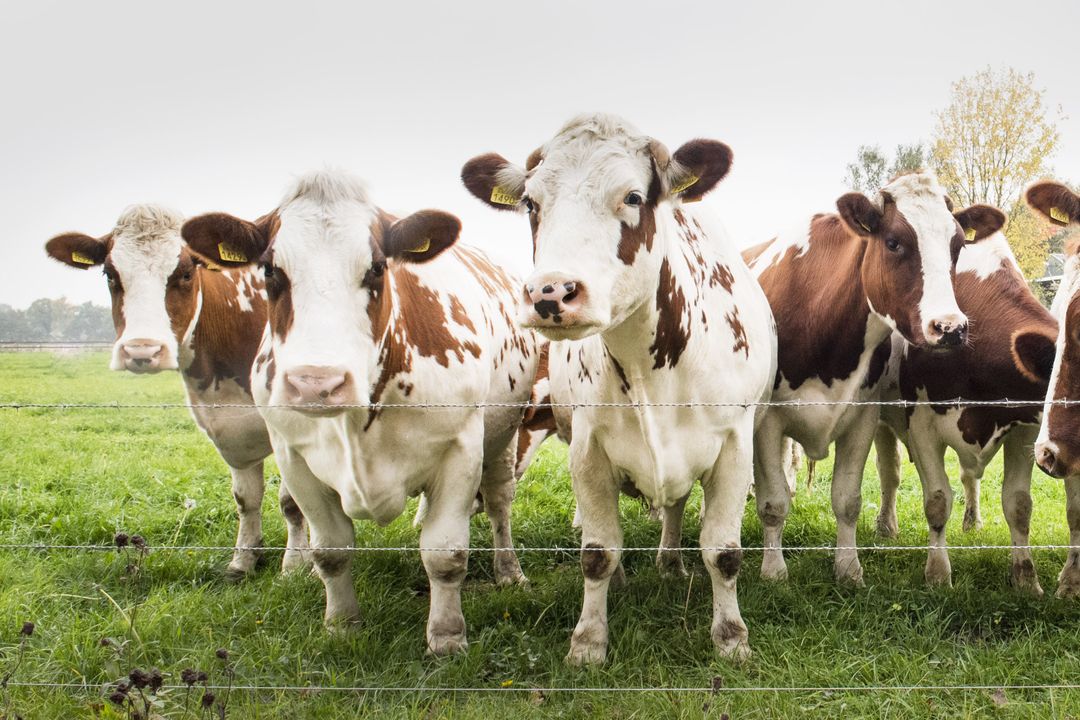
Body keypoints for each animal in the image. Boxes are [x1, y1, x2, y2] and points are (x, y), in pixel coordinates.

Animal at [44, 205, 309, 579]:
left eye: (184, 273)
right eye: (110, 274)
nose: (142, 350)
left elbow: (291, 502)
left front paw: (296, 565)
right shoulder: (230, 427)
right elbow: (246, 499)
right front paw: (243, 560)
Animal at [181, 170, 539, 655]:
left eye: (376, 267)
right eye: (270, 270)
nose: (317, 383)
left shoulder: (461, 448)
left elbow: (445, 554)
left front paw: (447, 636)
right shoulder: (294, 458)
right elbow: (330, 550)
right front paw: (341, 624)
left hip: (503, 437)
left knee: (500, 503)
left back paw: (509, 572)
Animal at [462, 113, 776, 664]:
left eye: (632, 196)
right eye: (531, 204)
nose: (550, 293)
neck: (650, 365)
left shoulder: (735, 445)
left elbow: (723, 552)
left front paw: (731, 637)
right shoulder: (587, 448)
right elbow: (597, 552)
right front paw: (588, 640)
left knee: (675, 507)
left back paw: (670, 562)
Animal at [744, 172, 1005, 586]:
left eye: (958, 245)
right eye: (894, 242)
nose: (950, 328)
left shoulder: (863, 416)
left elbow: (847, 500)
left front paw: (849, 569)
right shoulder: (768, 421)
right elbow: (773, 501)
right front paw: (773, 571)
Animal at [874, 228, 1056, 591]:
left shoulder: (1025, 429)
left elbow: (1018, 505)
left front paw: (1026, 579)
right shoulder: (922, 425)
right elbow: (937, 500)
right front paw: (938, 575)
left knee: (968, 475)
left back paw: (972, 522)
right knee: (890, 471)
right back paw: (886, 525)